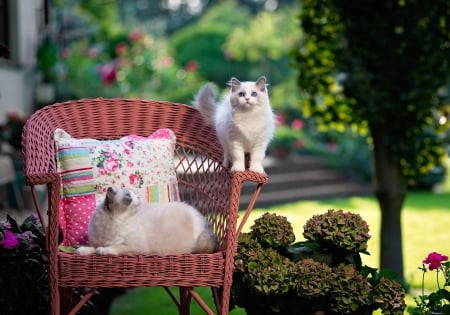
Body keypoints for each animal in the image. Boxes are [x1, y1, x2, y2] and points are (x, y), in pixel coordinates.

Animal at [76, 188, 220, 256]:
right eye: (129, 195)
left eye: (135, 195)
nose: (139, 197)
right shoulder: (96, 241)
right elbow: (91, 247)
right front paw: (82, 250)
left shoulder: (135, 247)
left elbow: (116, 247)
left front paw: (103, 250)